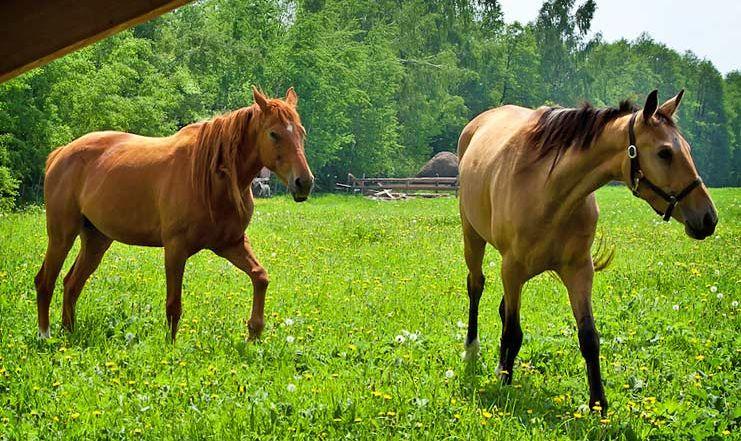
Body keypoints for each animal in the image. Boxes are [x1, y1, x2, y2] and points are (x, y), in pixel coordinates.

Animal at [35, 86, 312, 340]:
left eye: (301, 133)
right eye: (274, 134)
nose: (304, 182)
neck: (210, 177)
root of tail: (60, 154)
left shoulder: (230, 244)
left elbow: (260, 277)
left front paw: (254, 331)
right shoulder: (176, 248)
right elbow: (173, 305)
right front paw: (171, 348)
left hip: (96, 240)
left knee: (71, 284)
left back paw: (68, 333)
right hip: (61, 236)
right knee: (45, 281)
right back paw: (45, 335)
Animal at [456, 89, 716, 412]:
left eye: (688, 149)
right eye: (665, 153)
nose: (708, 218)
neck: (548, 190)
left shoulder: (579, 270)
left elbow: (589, 337)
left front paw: (598, 404)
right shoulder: (512, 268)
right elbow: (513, 333)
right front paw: (505, 385)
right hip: (473, 238)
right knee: (476, 287)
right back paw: (471, 350)